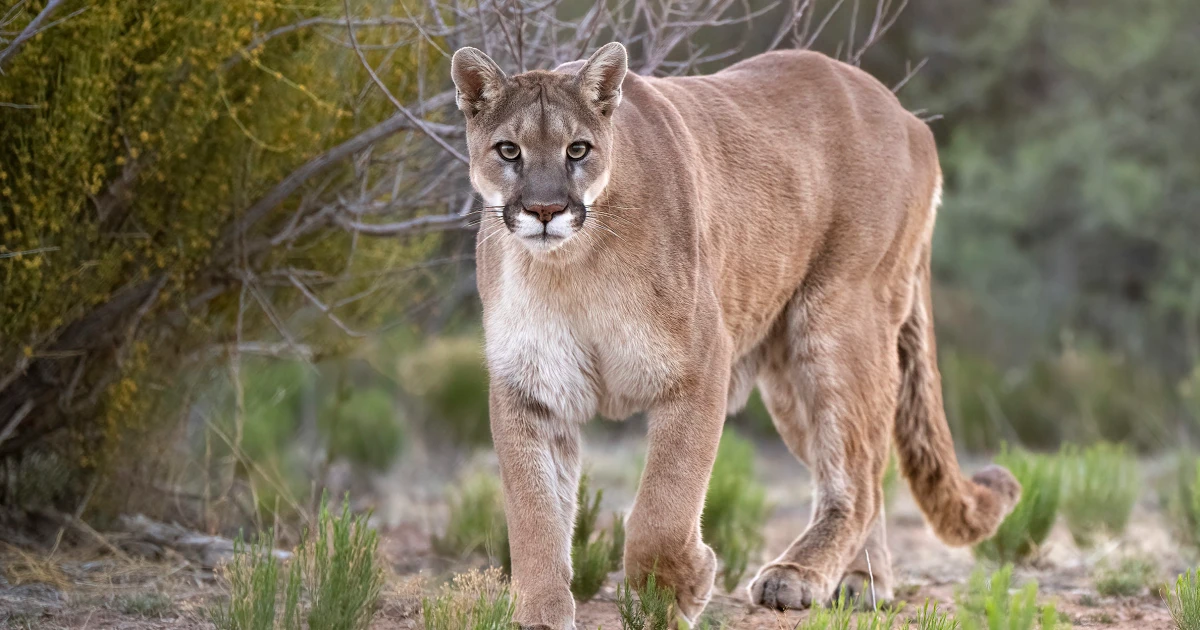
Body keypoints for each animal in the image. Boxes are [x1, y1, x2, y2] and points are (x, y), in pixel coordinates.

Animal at [450, 42, 1021, 629]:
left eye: (578, 149)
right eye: (509, 150)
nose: (545, 210)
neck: (569, 267)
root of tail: (907, 115)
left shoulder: (701, 365)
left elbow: (665, 503)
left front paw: (673, 593)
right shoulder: (530, 387)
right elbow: (533, 511)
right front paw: (541, 612)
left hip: (839, 321)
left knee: (858, 479)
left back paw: (797, 576)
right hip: (791, 383)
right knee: (860, 468)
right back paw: (863, 583)